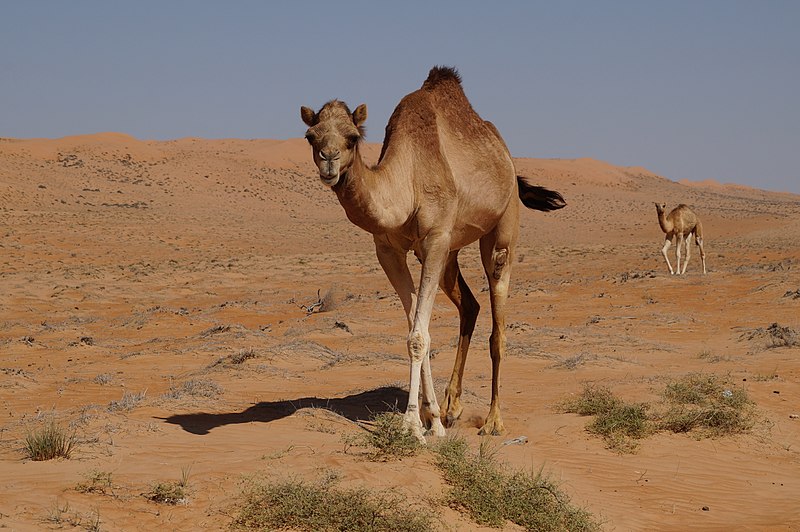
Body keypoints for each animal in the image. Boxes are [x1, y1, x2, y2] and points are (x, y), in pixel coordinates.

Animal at [300, 65, 564, 440]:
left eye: (352, 137)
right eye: (311, 137)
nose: (329, 163)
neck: (406, 183)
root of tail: (507, 159)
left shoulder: (435, 239)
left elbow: (418, 336)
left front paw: (412, 424)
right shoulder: (390, 251)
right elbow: (416, 326)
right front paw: (433, 417)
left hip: (502, 228)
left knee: (498, 323)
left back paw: (493, 421)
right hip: (450, 254)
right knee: (470, 306)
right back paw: (454, 406)